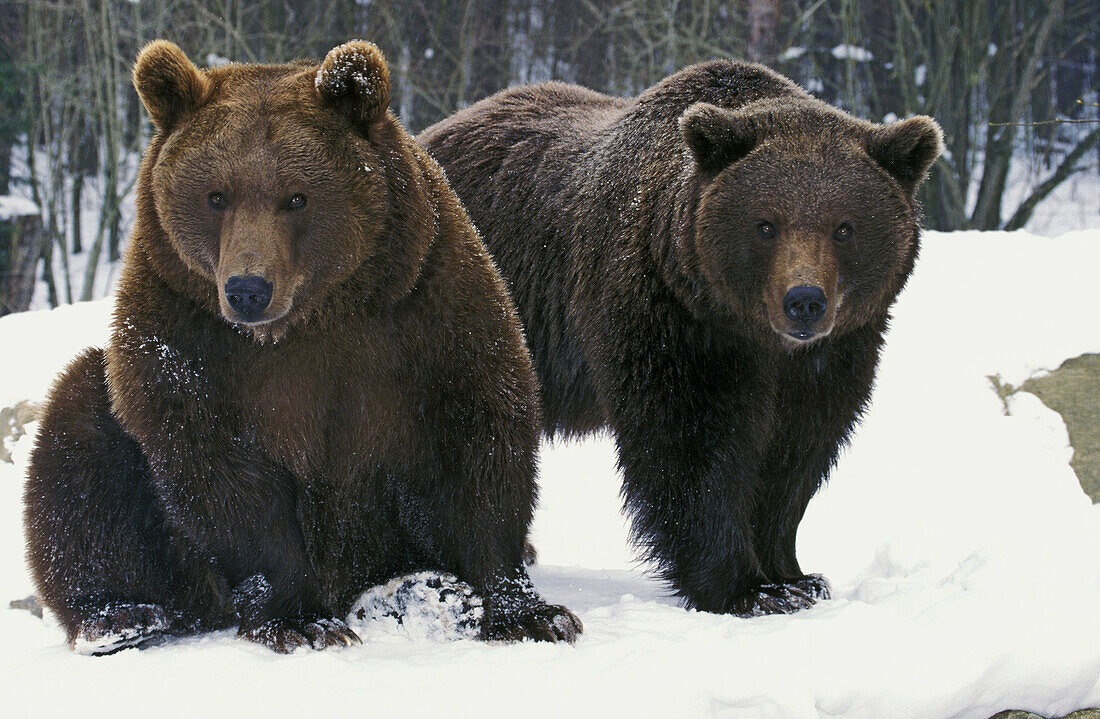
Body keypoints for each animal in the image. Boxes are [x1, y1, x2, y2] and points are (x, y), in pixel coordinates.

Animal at [21, 40, 580, 659]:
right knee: (78, 446)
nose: (247, 289)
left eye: (296, 197)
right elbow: (217, 468)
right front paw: (301, 619)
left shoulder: (425, 307)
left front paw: (528, 611)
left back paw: (422, 587)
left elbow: (475, 441)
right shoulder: (185, 328)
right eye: (216, 195)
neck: (311, 318)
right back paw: (121, 616)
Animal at [418, 62, 937, 615]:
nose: (804, 301)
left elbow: (797, 450)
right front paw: (745, 586)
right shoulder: (669, 315)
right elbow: (690, 445)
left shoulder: (835, 351)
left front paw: (795, 574)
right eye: (765, 225)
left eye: (844, 227)